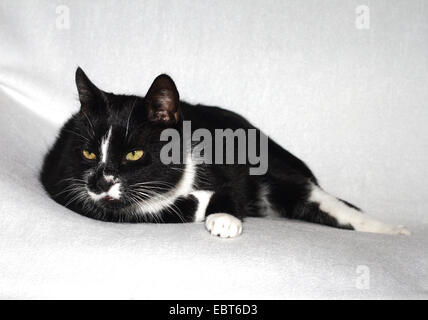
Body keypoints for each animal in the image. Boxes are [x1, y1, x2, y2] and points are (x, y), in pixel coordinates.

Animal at [41, 67, 412, 238]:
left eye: (133, 155)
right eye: (88, 154)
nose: (100, 183)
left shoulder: (227, 160)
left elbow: (228, 188)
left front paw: (224, 217)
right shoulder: (61, 180)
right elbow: (129, 211)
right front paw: (202, 206)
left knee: (325, 201)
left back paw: (395, 230)